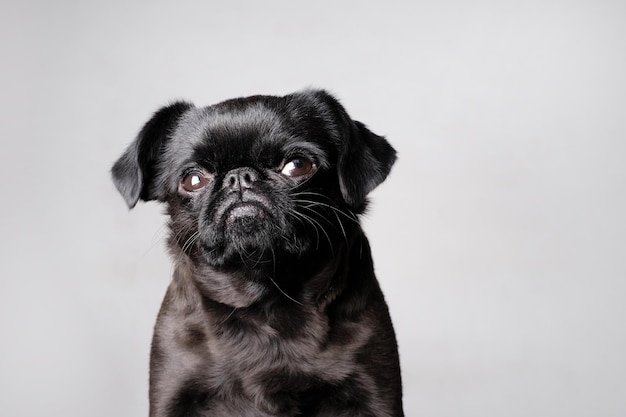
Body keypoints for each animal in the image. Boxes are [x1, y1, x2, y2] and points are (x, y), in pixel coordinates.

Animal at [111, 89, 404, 414]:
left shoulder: (373, 395)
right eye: (193, 179)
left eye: (298, 165)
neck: (264, 300)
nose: (239, 177)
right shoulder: (173, 392)